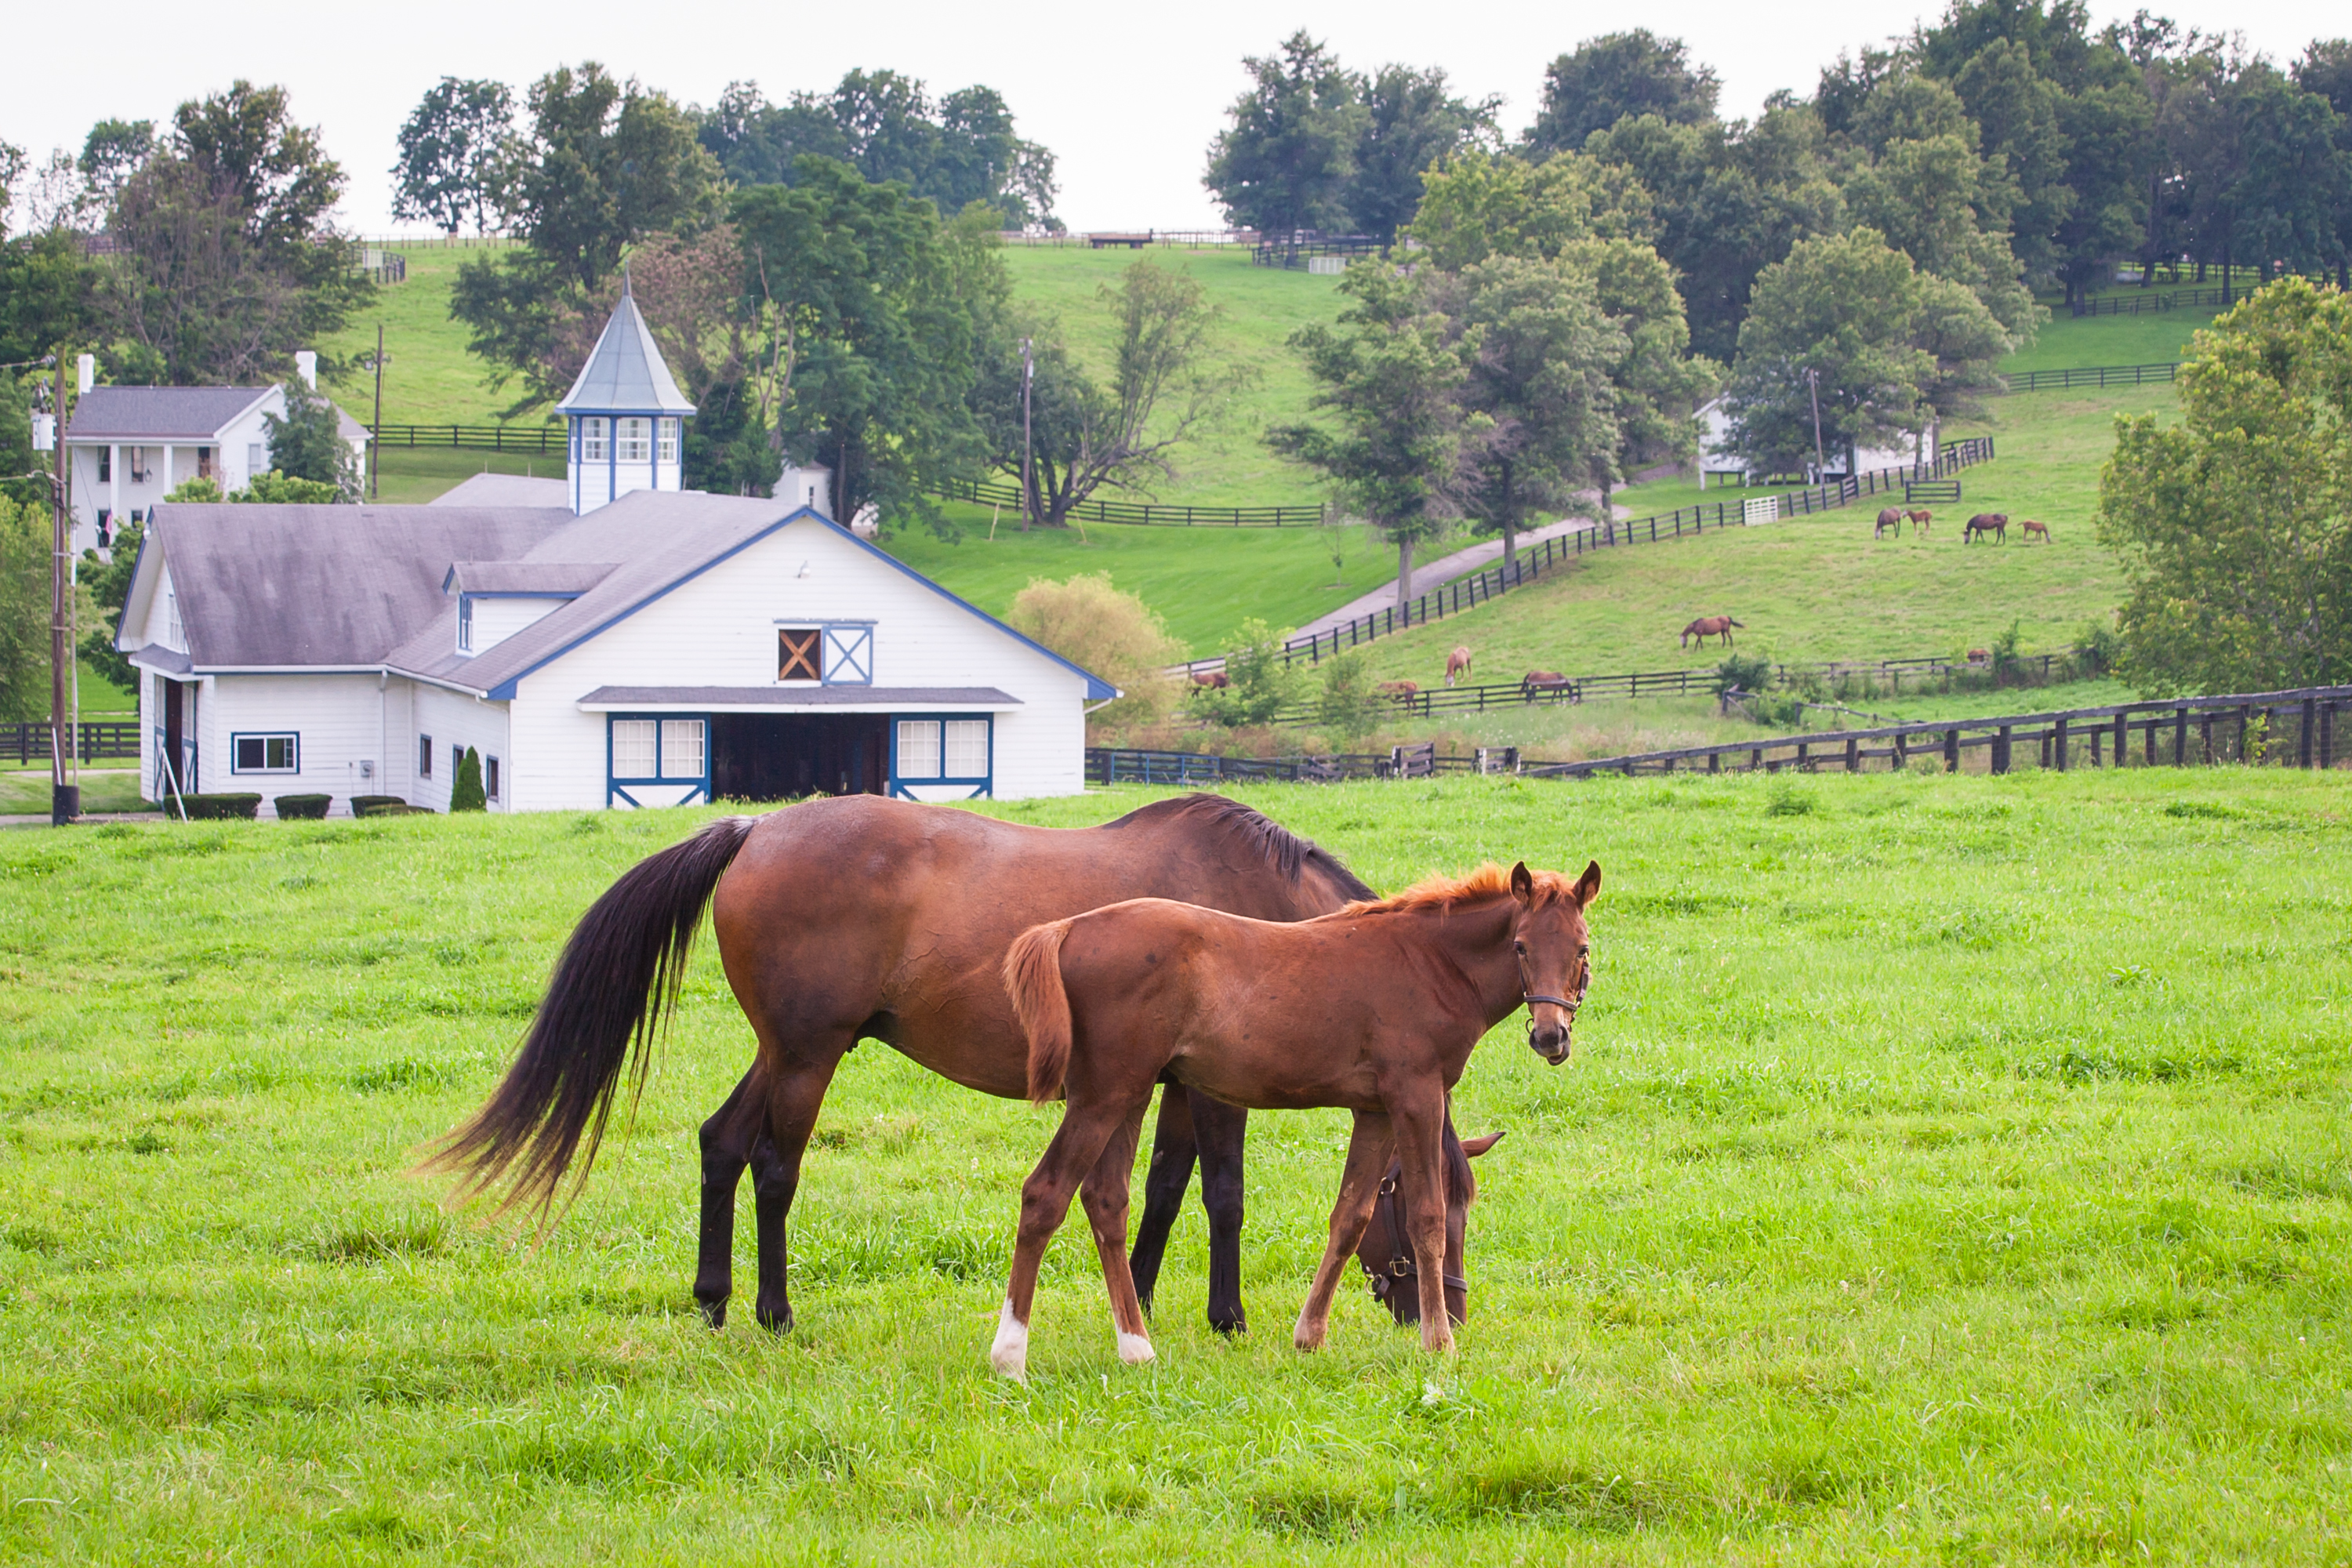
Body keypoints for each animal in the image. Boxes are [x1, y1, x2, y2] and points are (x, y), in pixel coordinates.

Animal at [423, 799, 1458, 1335]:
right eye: (1437, 1207)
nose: (1442, 1308)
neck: (1265, 910)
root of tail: (756, 829)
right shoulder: (1218, 1090)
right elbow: (1223, 1194)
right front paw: (1227, 1315)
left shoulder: (1169, 1083)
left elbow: (1163, 1189)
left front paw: (1142, 1299)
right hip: (808, 1056)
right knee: (772, 1166)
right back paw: (773, 1309)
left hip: (783, 1050)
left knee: (720, 1143)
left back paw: (715, 1300)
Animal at [993, 851, 1599, 1382]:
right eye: (1520, 946)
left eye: (1582, 949)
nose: (1551, 1037)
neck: (1430, 963)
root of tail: (1067, 929)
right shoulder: (1417, 1096)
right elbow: (1424, 1217)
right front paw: (1439, 1345)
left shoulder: (1375, 1112)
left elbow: (1350, 1216)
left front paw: (1310, 1336)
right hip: (1103, 1096)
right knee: (1045, 1193)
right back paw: (1010, 1358)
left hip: (1130, 1094)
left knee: (1106, 1201)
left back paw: (1136, 1349)